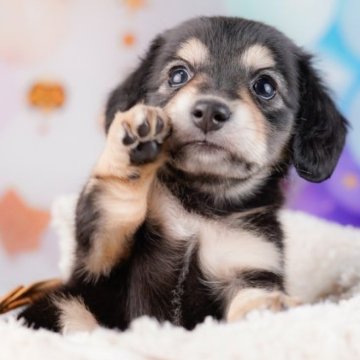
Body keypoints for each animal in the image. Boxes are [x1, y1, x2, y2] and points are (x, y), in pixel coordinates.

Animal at [19, 16, 346, 332]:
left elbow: (250, 297)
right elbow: (113, 201)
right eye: (178, 75)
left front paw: (267, 308)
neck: (200, 207)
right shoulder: (100, 263)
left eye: (265, 87)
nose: (210, 111)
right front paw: (133, 139)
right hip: (65, 304)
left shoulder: (251, 263)